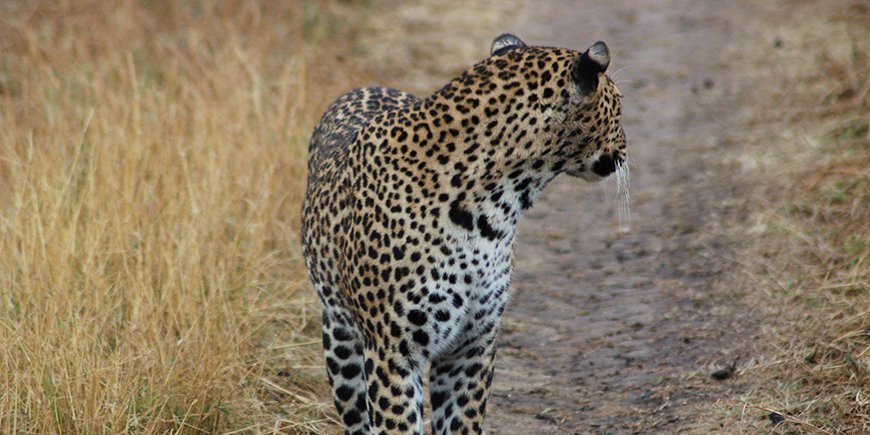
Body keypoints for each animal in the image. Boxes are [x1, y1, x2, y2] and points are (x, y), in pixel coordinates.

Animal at [301, 33, 626, 434]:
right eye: (618, 106)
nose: (625, 149)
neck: (492, 213)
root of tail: (368, 86)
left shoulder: (473, 345)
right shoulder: (392, 352)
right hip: (341, 343)